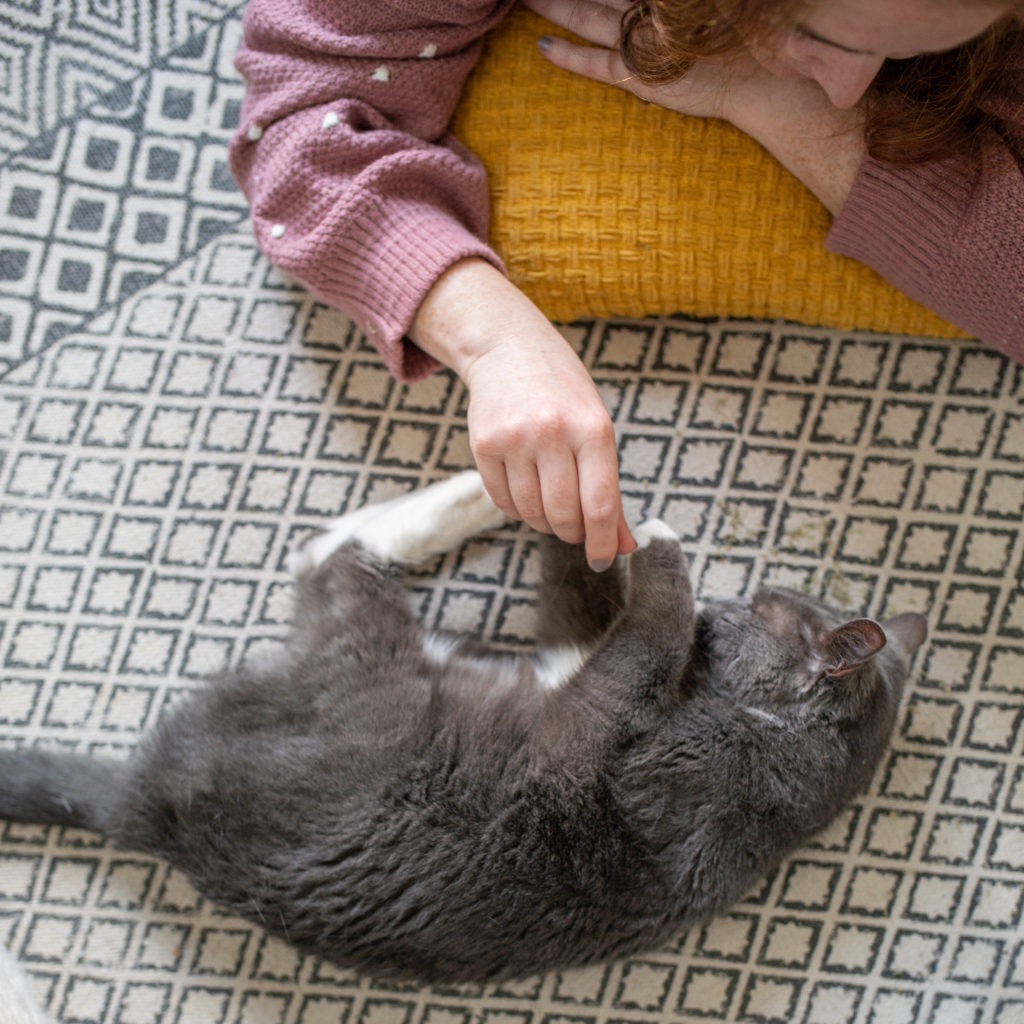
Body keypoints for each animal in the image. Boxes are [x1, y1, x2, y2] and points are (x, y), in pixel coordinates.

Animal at [0, 471, 929, 983]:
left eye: (756, 610)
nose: (726, 601)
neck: (757, 729)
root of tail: (149, 806)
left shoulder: (630, 743)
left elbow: (643, 640)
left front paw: (657, 542)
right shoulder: (574, 646)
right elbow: (589, 594)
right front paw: (590, 498)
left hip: (372, 679)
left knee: (334, 564)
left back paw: (461, 495)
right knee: (334, 558)